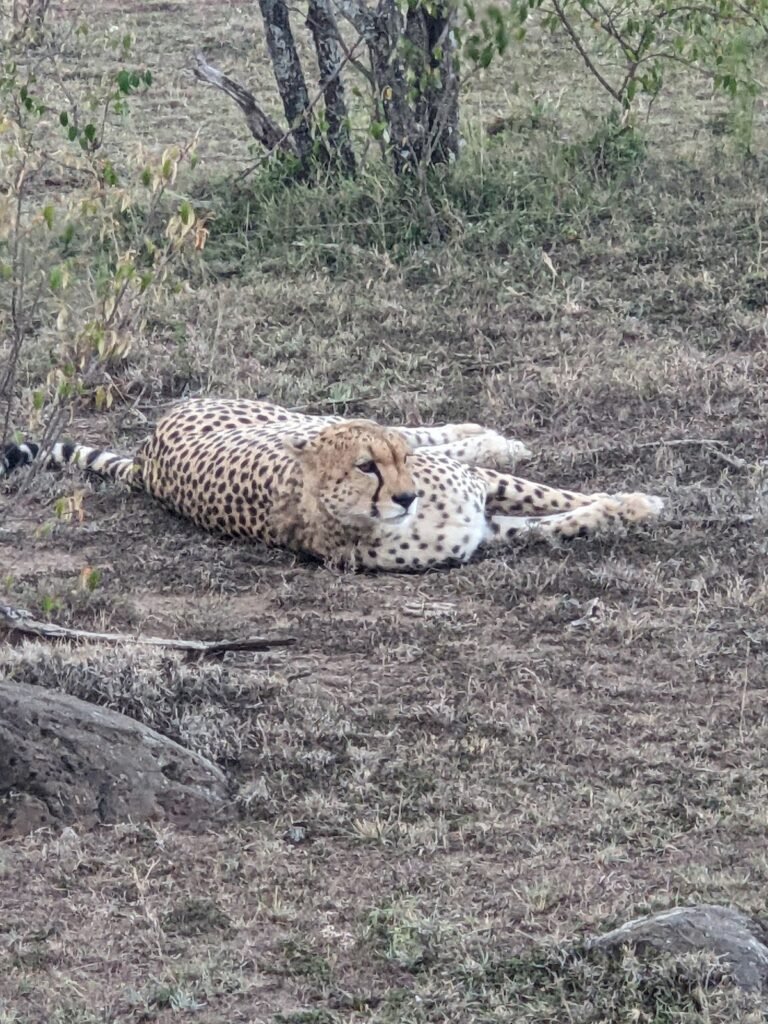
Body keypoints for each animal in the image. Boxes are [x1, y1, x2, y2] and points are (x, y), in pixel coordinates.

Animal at [1, 398, 663, 571]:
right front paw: (627, 507)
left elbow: (558, 499)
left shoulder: (476, 491)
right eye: (366, 467)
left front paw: (633, 501)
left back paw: (488, 434)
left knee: (431, 432)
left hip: (303, 416)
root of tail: (146, 454)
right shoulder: (486, 531)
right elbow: (555, 521)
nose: (407, 494)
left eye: (394, 462)